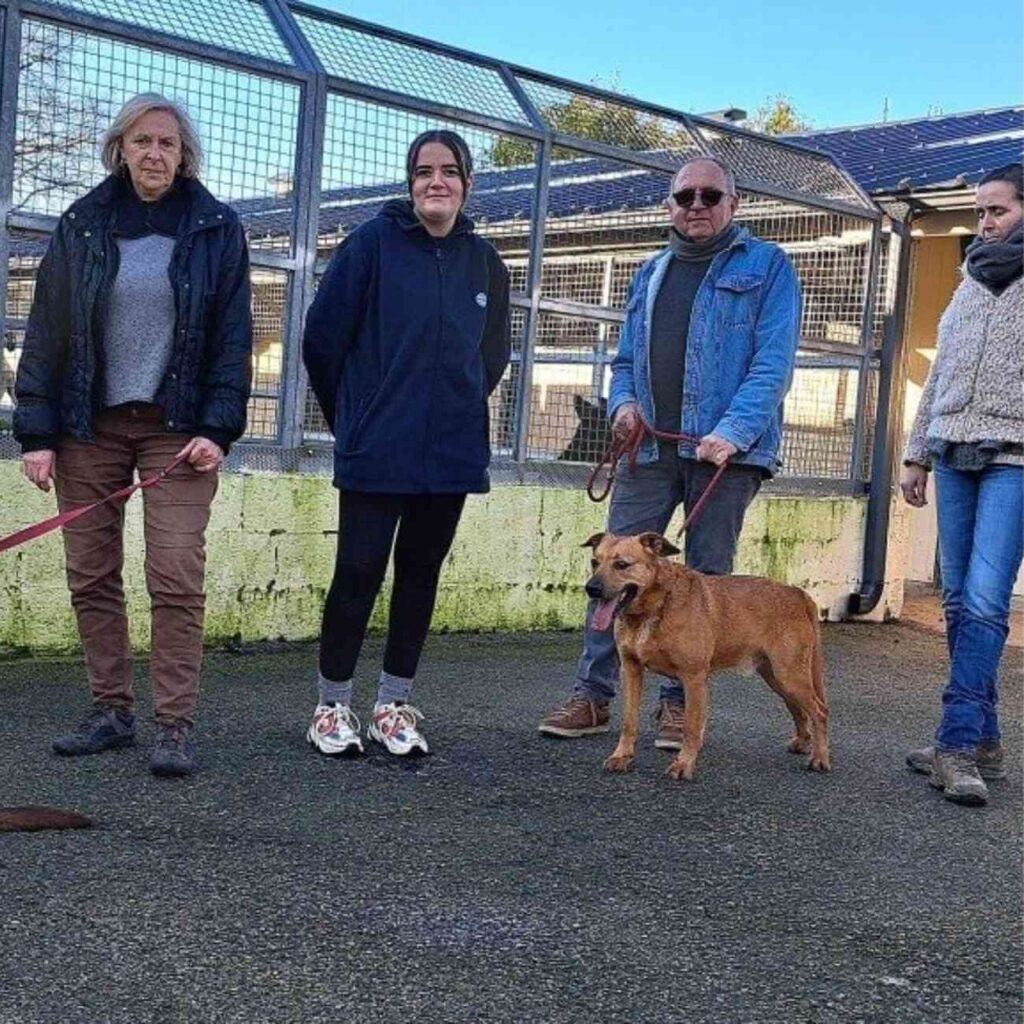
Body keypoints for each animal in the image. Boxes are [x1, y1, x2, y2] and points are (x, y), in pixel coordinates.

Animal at [581, 532, 827, 778]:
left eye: (622, 565)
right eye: (594, 562)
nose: (590, 589)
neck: (657, 605)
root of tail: (798, 593)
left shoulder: (693, 679)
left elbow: (691, 727)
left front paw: (684, 764)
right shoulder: (631, 671)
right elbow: (629, 722)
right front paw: (621, 756)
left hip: (790, 676)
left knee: (820, 712)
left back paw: (820, 757)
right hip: (778, 678)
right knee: (799, 709)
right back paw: (803, 742)